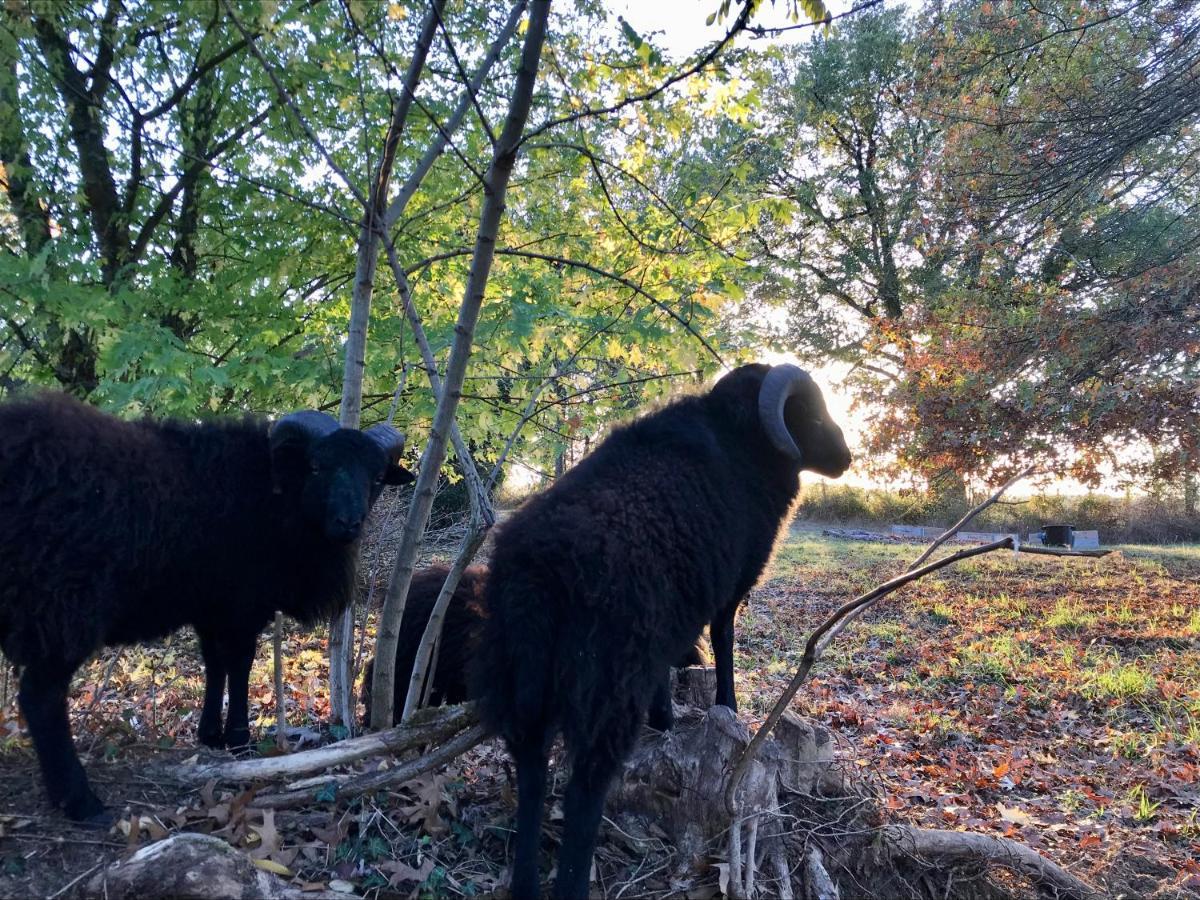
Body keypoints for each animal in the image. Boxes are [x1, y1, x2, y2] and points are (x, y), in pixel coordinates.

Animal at [0, 391, 412, 820]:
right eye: (317, 467)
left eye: (376, 477)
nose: (350, 522)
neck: (275, 494)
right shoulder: (243, 606)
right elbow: (240, 665)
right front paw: (240, 738)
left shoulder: (211, 606)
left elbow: (214, 664)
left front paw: (210, 733)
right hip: (63, 604)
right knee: (40, 696)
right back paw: (81, 801)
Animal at [470, 364, 854, 900]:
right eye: (812, 413)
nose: (846, 457)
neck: (741, 443)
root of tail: (541, 569)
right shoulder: (724, 589)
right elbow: (723, 640)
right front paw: (726, 707)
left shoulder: (666, 621)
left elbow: (672, 665)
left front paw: (666, 721)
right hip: (605, 682)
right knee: (584, 791)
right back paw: (572, 881)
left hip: (523, 678)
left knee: (531, 772)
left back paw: (525, 881)